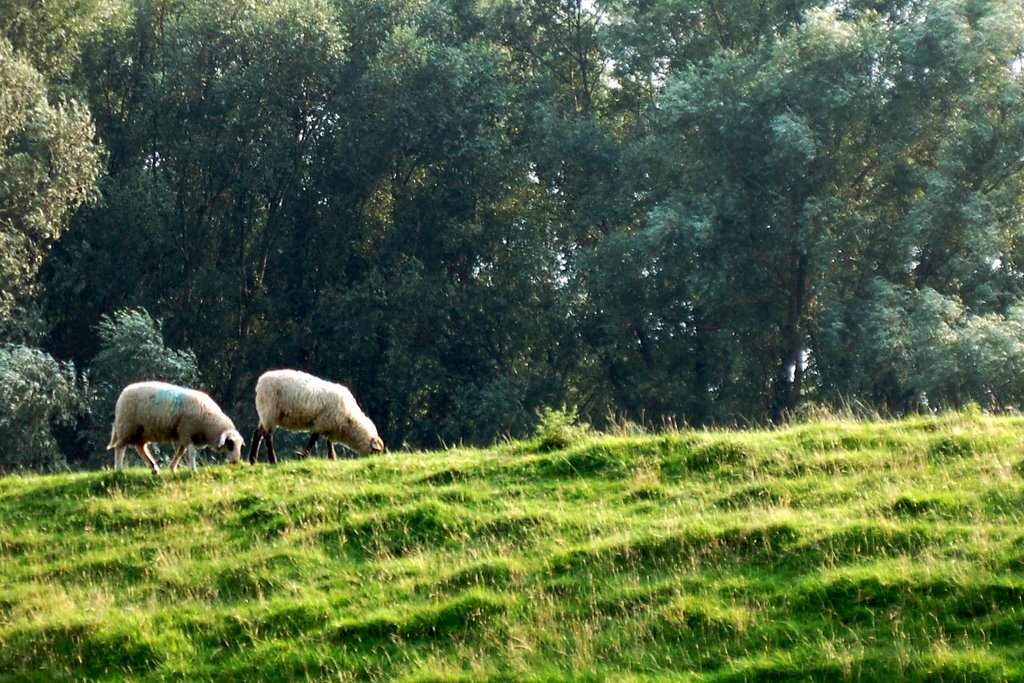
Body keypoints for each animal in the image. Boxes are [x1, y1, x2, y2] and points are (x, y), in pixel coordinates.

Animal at [107, 378, 244, 475]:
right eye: (230, 445)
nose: (236, 462)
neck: (208, 421)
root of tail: (124, 393)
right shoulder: (186, 431)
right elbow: (191, 452)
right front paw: (193, 470)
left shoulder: (184, 434)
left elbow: (181, 452)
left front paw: (172, 468)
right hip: (127, 427)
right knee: (120, 448)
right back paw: (119, 470)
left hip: (142, 430)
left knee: (140, 447)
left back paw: (154, 468)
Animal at [247, 368, 385, 464]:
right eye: (376, 452)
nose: (376, 461)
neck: (349, 420)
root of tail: (261, 381)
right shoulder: (322, 423)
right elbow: (313, 440)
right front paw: (303, 455)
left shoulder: (330, 424)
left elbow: (328, 442)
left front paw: (332, 457)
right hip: (270, 412)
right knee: (268, 436)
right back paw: (272, 460)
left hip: (265, 414)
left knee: (258, 433)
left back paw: (253, 460)